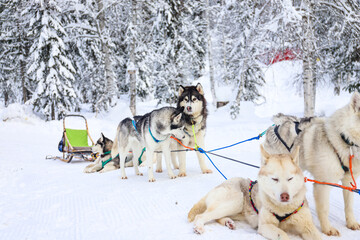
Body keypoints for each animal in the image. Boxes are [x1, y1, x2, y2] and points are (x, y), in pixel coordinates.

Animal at [188, 145, 320, 239]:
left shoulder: (308, 227)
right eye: (275, 179)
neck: (283, 210)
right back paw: (199, 227)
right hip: (235, 201)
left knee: (216, 217)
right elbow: (283, 234)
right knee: (201, 216)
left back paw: (228, 222)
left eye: (290, 178)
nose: (285, 196)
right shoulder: (265, 226)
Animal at [296, 92, 360, 236]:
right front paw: (327, 229)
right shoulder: (323, 184)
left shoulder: (349, 183)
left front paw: (351, 223)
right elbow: (324, 209)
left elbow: (349, 206)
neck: (345, 140)